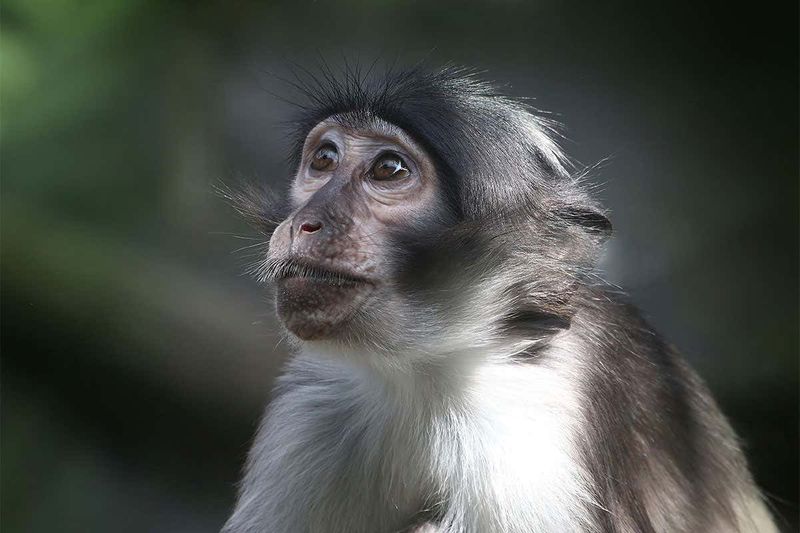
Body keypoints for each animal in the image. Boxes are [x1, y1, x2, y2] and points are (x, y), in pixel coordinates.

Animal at [217, 66, 776, 532]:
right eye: (324, 159)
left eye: (389, 170)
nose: (305, 221)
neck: (421, 378)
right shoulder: (312, 409)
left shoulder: (527, 426)